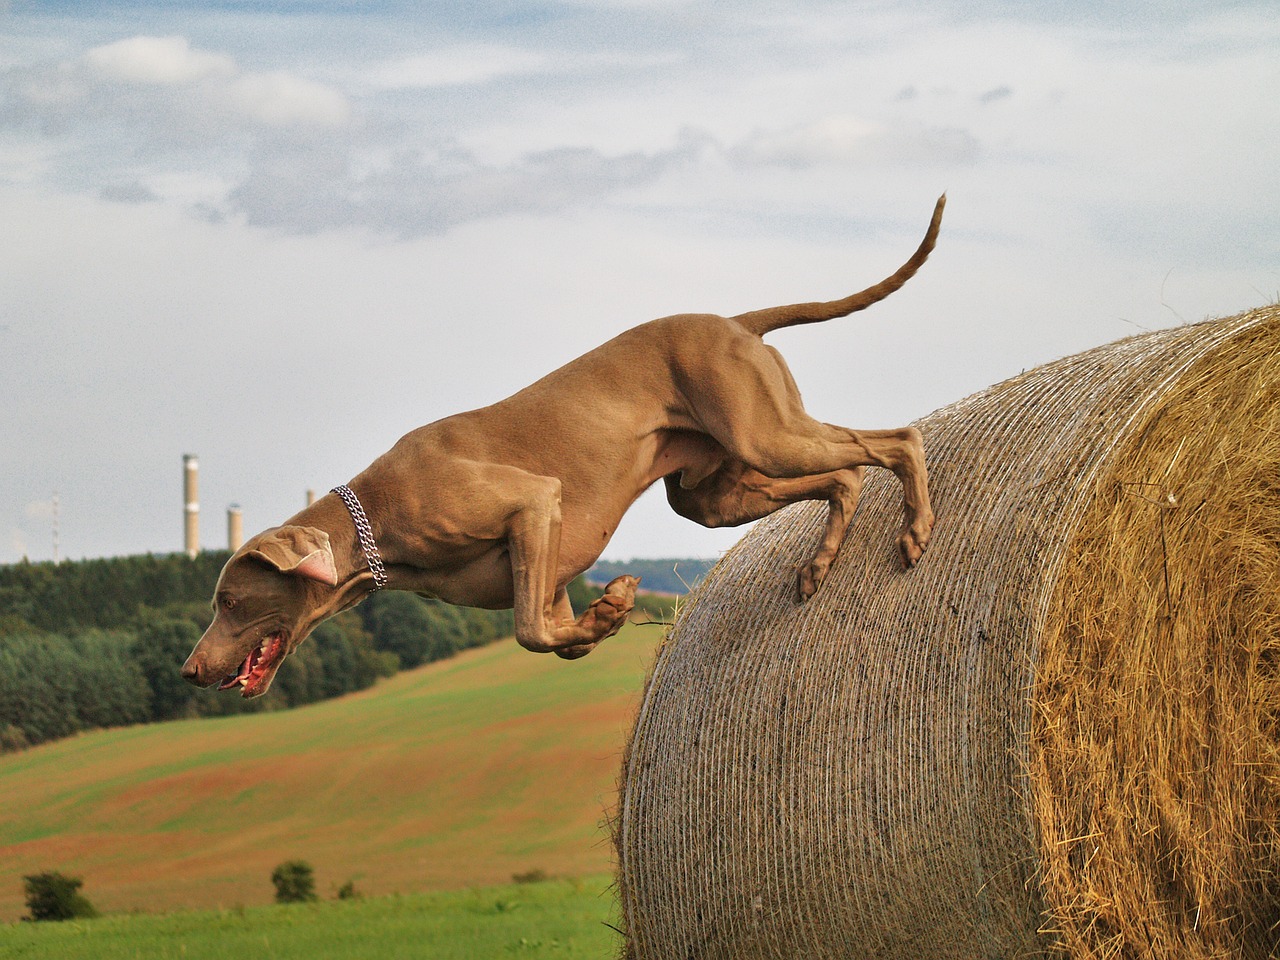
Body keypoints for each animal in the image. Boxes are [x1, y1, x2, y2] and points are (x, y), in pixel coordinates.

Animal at [183, 195, 942, 701]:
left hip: (765, 435)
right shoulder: (546, 571)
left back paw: (916, 530)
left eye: (229, 601)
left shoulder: (532, 504)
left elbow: (527, 631)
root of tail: (735, 322)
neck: (376, 518)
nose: (189, 669)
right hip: (713, 494)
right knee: (844, 477)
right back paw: (818, 565)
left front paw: (612, 608)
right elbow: (554, 637)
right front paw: (606, 618)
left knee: (896, 440)